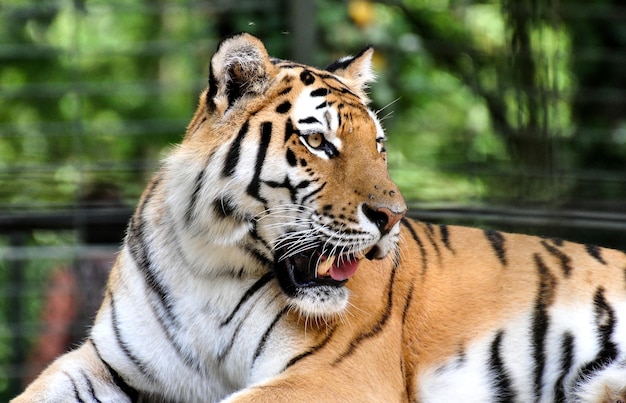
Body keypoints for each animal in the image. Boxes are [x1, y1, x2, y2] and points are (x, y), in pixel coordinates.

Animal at [12, 32, 624, 403]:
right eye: (319, 142)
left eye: (378, 146)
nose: (393, 216)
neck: (207, 267)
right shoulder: (103, 362)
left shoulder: (336, 372)